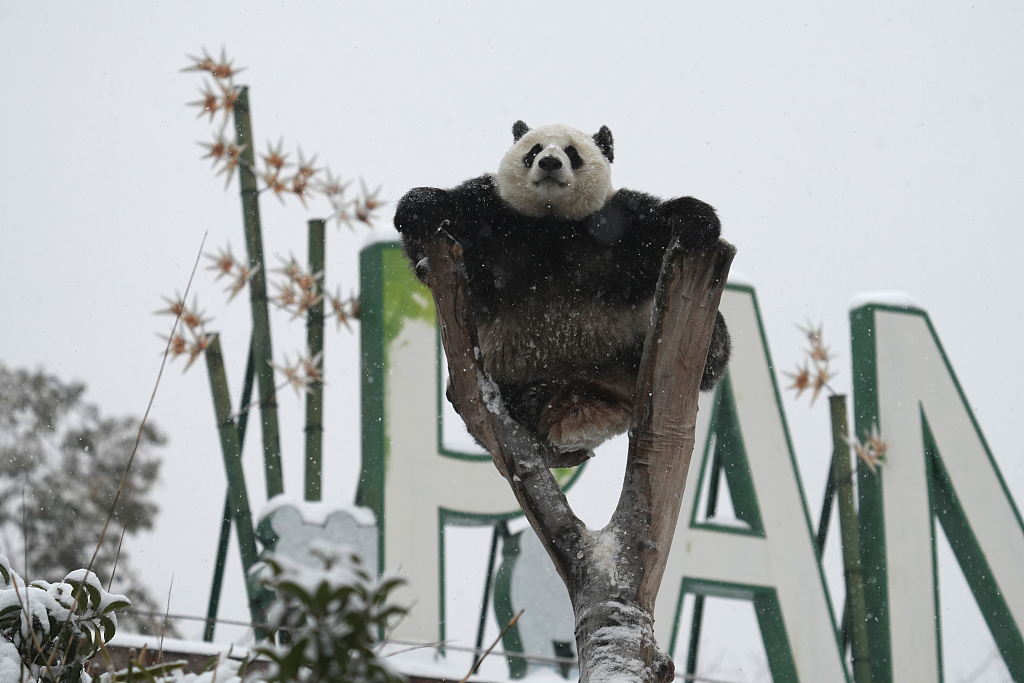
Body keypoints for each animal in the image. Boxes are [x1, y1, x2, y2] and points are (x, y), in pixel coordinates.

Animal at [391, 121, 729, 464]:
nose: (550, 163)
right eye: (534, 150)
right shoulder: (496, 218)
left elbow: (653, 230)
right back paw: (529, 400)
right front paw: (421, 208)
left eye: (571, 152)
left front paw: (694, 220)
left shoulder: (614, 225)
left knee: (712, 351)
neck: (552, 223)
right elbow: (448, 238)